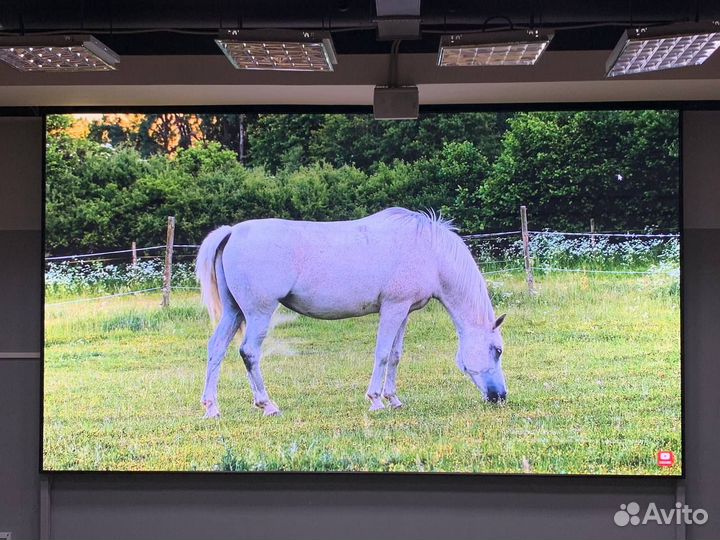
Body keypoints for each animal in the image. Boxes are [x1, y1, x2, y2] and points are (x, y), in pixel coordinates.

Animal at [197, 207, 506, 418]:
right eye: (498, 350)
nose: (500, 396)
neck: (429, 250)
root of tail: (232, 232)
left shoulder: (404, 311)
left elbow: (395, 355)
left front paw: (394, 399)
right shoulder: (393, 308)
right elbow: (382, 354)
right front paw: (376, 400)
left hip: (234, 312)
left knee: (217, 348)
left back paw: (212, 407)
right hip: (258, 313)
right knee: (249, 352)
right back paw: (267, 405)